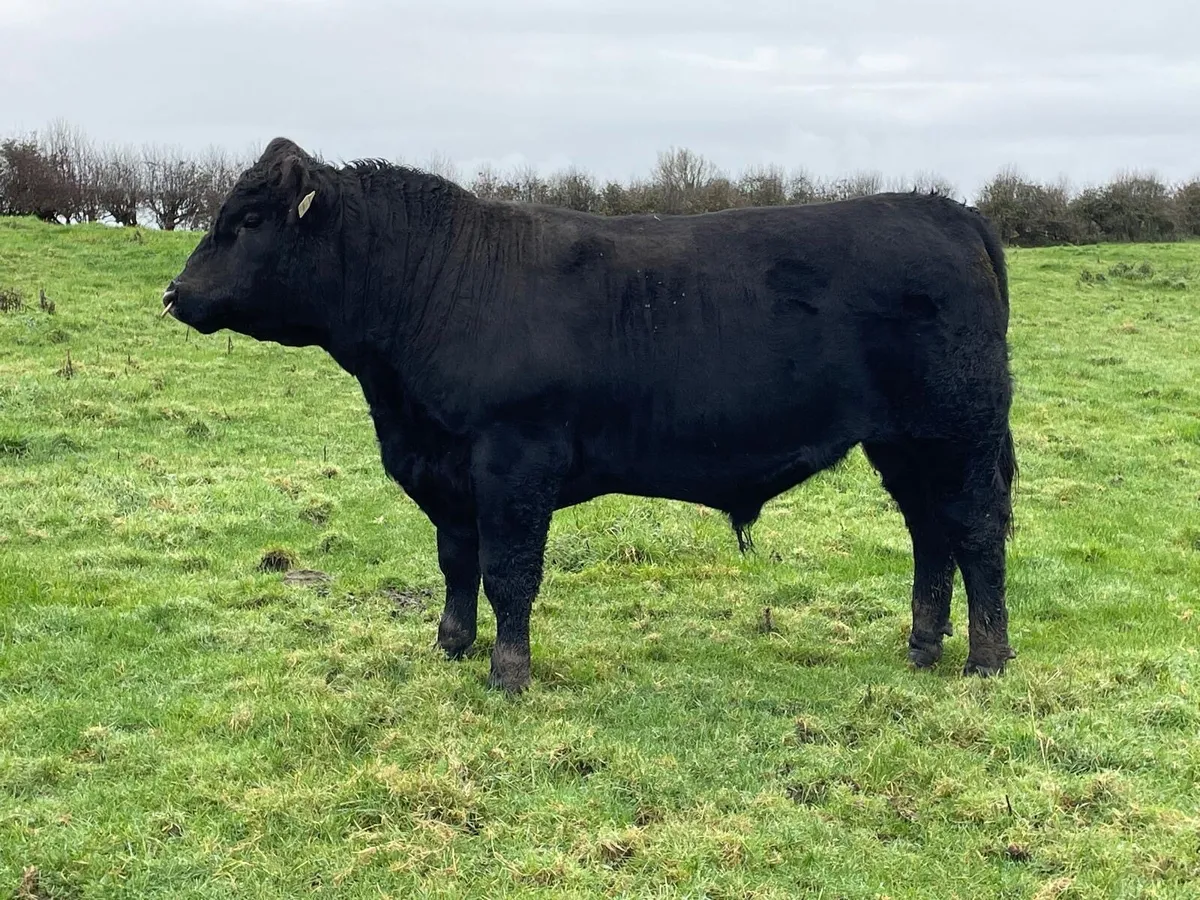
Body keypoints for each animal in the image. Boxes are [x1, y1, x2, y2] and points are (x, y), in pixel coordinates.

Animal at [161, 137, 1018, 693]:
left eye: (248, 222)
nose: (174, 292)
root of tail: (948, 211)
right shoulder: (445, 470)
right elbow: (456, 563)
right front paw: (450, 646)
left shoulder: (513, 461)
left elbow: (509, 572)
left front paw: (508, 674)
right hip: (903, 444)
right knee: (931, 533)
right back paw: (922, 644)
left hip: (960, 434)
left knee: (975, 531)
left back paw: (986, 659)